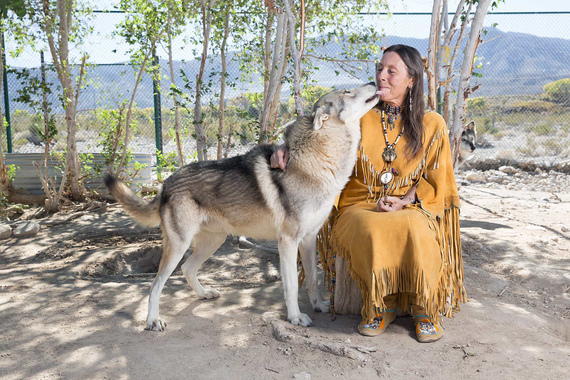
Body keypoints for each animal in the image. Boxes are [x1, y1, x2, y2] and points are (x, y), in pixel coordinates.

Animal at [104, 82, 380, 330]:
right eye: (347, 90)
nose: (373, 81)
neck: (316, 162)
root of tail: (165, 184)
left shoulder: (309, 239)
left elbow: (312, 278)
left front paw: (319, 305)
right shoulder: (288, 242)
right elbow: (292, 285)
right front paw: (295, 317)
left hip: (212, 242)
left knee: (187, 269)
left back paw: (204, 294)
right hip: (179, 246)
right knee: (155, 284)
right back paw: (153, 321)